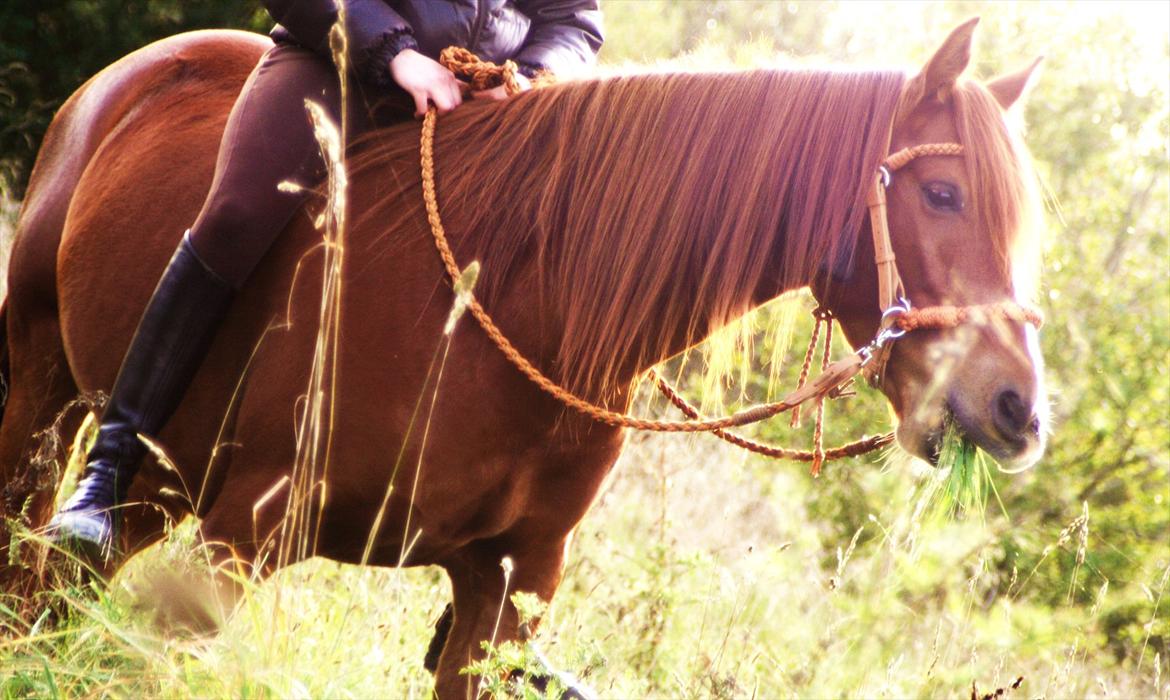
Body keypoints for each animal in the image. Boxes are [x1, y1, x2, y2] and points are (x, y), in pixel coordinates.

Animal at [0, 19, 1043, 697]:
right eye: (943, 194)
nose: (1019, 410)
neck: (515, 306)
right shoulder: (243, 536)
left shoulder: (504, 595)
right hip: (45, 399)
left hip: (165, 480)